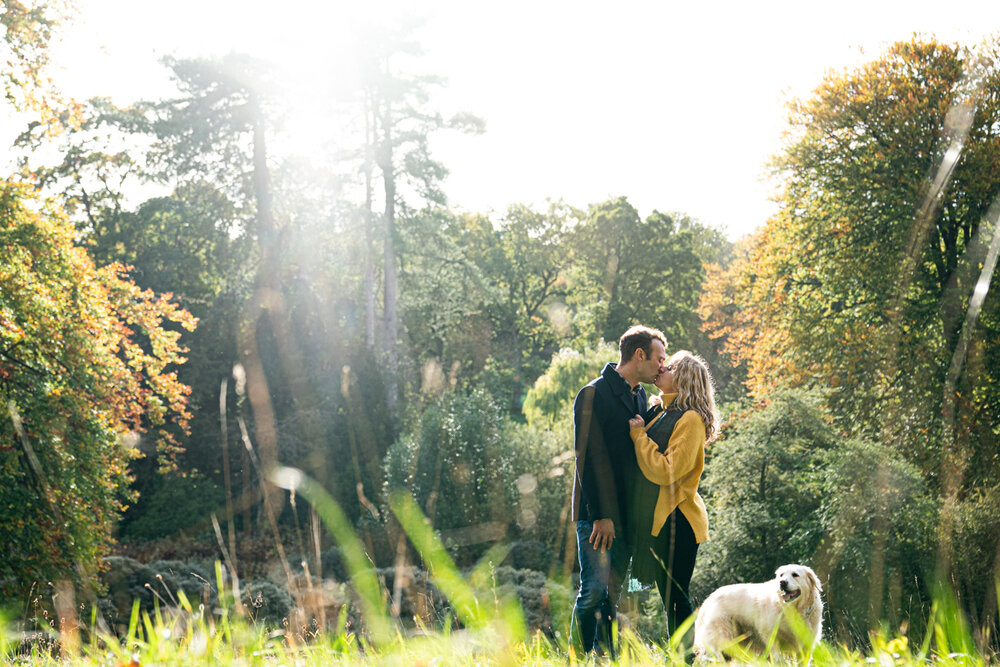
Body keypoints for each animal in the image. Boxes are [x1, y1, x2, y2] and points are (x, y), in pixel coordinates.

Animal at [692, 568, 824, 660]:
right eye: (781, 575)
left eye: (795, 574)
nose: (782, 582)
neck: (793, 610)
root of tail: (707, 601)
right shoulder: (770, 635)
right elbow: (777, 656)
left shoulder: (806, 644)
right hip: (723, 637)